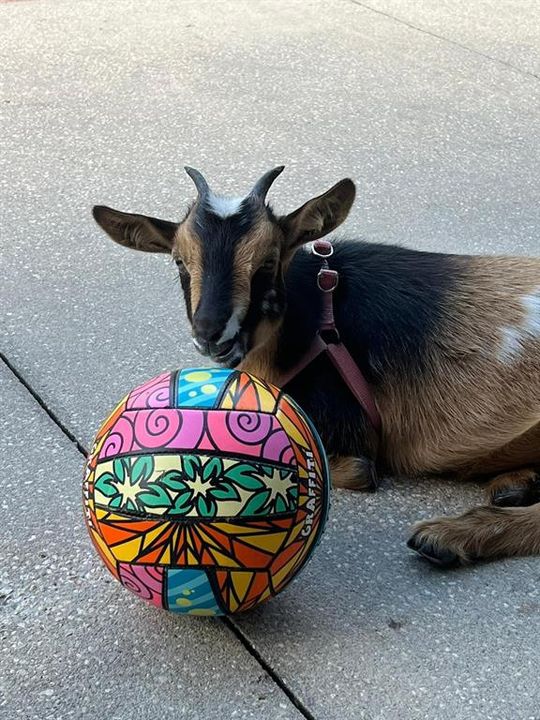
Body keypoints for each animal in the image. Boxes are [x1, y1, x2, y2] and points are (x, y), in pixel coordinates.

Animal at [94, 169, 540, 568]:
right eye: (179, 262)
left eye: (268, 261)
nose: (211, 334)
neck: (312, 321)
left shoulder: (348, 429)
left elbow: (355, 471)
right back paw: (514, 485)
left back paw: (450, 536)